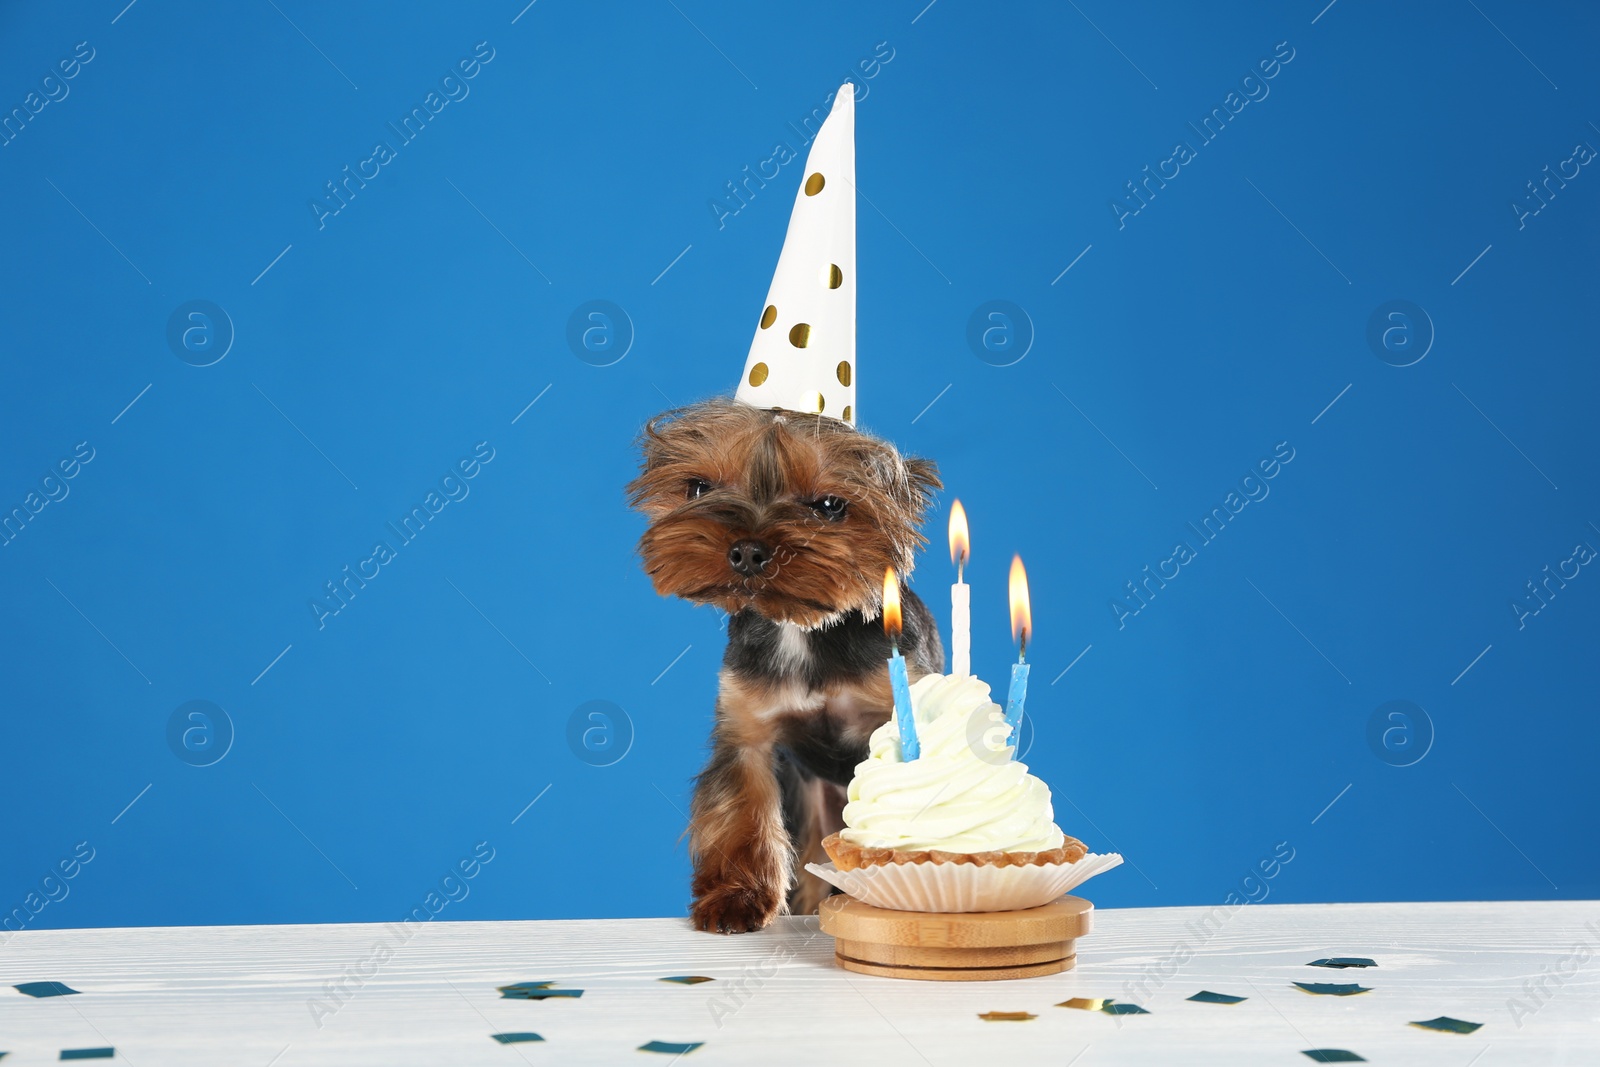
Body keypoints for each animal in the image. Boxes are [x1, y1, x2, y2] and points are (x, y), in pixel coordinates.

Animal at [630, 399, 940, 934]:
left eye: (830, 506)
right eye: (699, 488)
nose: (747, 551)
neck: (800, 628)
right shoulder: (746, 728)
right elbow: (743, 807)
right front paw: (736, 899)